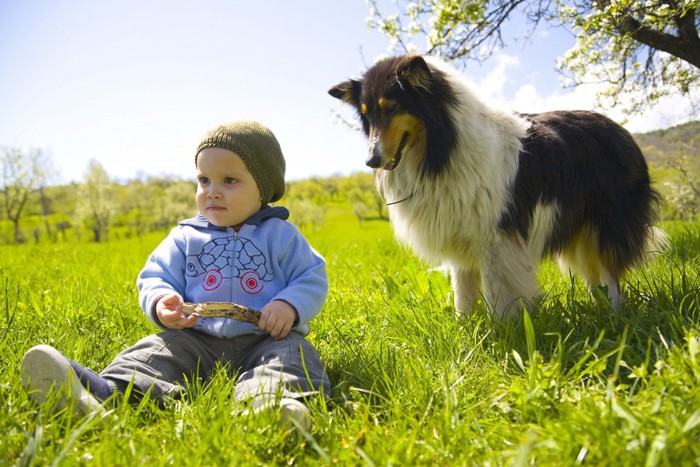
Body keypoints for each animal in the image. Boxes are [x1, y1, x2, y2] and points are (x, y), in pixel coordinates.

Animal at [328, 54, 668, 318]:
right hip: (578, 231)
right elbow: (463, 295)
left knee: (612, 275)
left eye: (392, 107)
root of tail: (623, 132)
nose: (371, 160)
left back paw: (617, 318)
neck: (444, 147)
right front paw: (466, 331)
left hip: (607, 226)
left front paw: (504, 331)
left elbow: (497, 294)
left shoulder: (497, 239)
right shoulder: (460, 239)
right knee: (594, 277)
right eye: (367, 114)